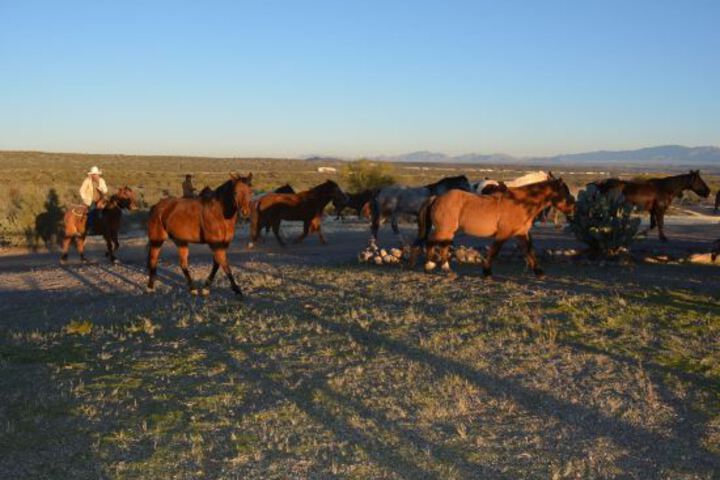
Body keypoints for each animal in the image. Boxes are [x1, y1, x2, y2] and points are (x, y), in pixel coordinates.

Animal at [414, 178, 576, 278]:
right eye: (565, 192)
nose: (572, 210)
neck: (521, 203)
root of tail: (437, 198)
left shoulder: (521, 233)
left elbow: (529, 250)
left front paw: (539, 272)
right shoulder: (503, 234)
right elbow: (494, 251)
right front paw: (487, 272)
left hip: (448, 231)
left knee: (443, 246)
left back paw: (446, 268)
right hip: (444, 230)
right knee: (431, 241)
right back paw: (429, 265)